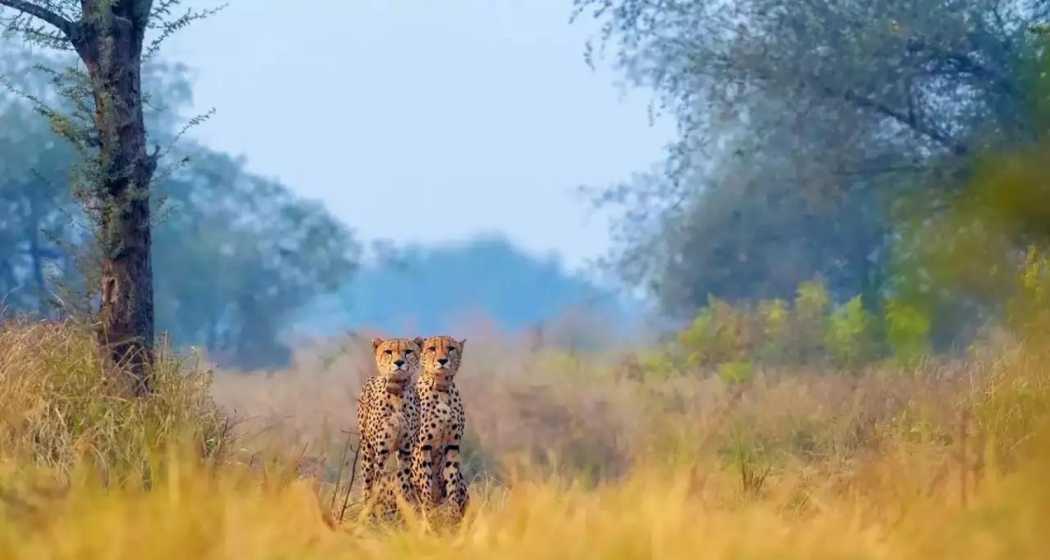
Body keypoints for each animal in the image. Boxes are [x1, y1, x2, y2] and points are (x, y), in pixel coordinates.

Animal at [352, 334, 417, 516]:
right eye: (388, 352)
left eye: (408, 351)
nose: (399, 362)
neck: (397, 394)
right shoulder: (380, 452)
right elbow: (379, 483)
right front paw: (379, 511)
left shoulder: (405, 450)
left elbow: (403, 481)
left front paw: (403, 508)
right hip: (367, 452)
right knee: (368, 482)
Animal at [411, 332, 470, 519]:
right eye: (432, 348)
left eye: (450, 348)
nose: (442, 360)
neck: (441, 388)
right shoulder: (423, 446)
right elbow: (426, 482)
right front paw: (428, 512)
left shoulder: (453, 445)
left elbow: (451, 481)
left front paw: (453, 511)